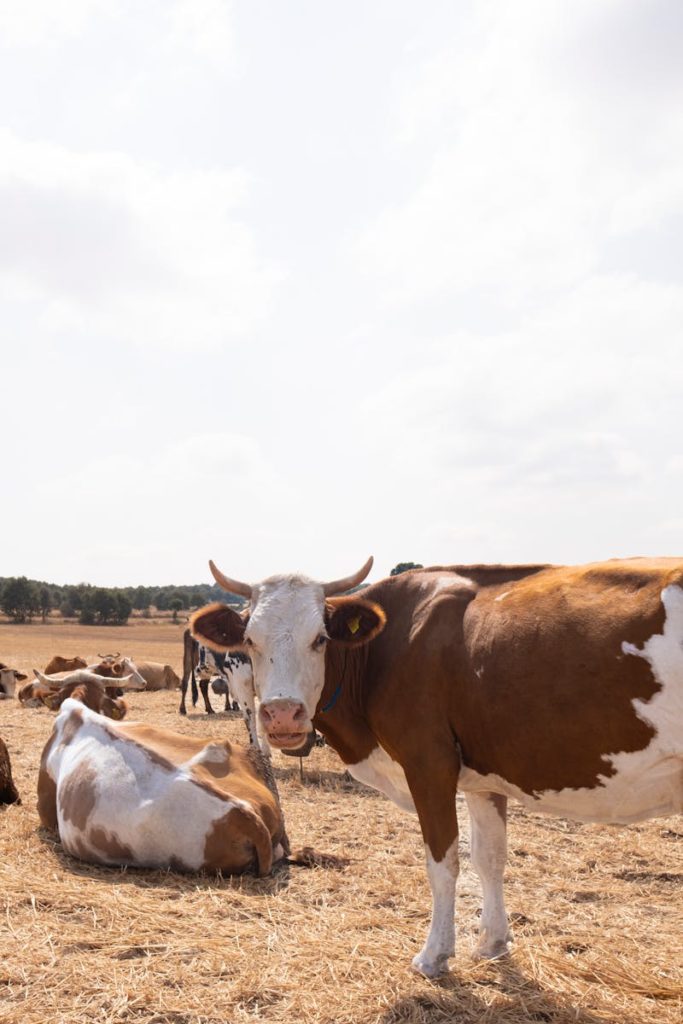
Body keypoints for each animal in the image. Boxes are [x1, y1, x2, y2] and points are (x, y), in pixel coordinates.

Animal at [189, 552, 683, 974]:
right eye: (249, 640)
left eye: (321, 639)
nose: (282, 715)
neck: (392, 644)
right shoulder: (485, 778)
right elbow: (490, 858)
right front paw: (492, 943)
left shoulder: (429, 766)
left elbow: (443, 865)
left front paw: (434, 956)